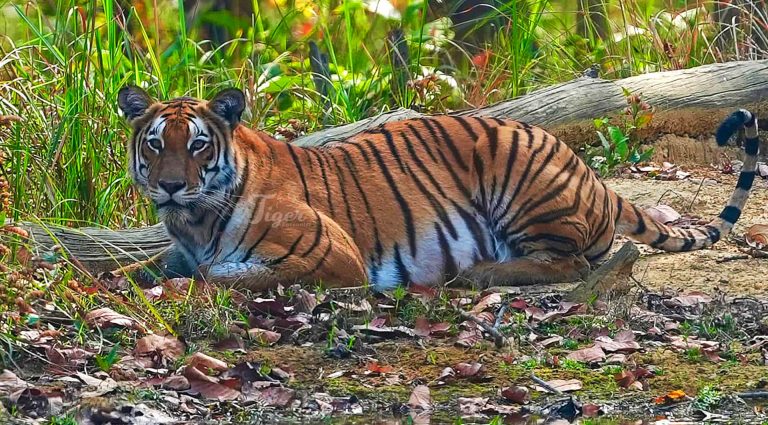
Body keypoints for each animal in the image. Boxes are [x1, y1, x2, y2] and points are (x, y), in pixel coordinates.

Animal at [116, 85, 759, 292]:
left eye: (198, 145)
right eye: (157, 143)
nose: (170, 186)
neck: (194, 220)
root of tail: (596, 181)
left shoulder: (333, 256)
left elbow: (222, 276)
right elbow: (134, 269)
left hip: (518, 174)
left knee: (570, 262)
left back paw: (479, 273)